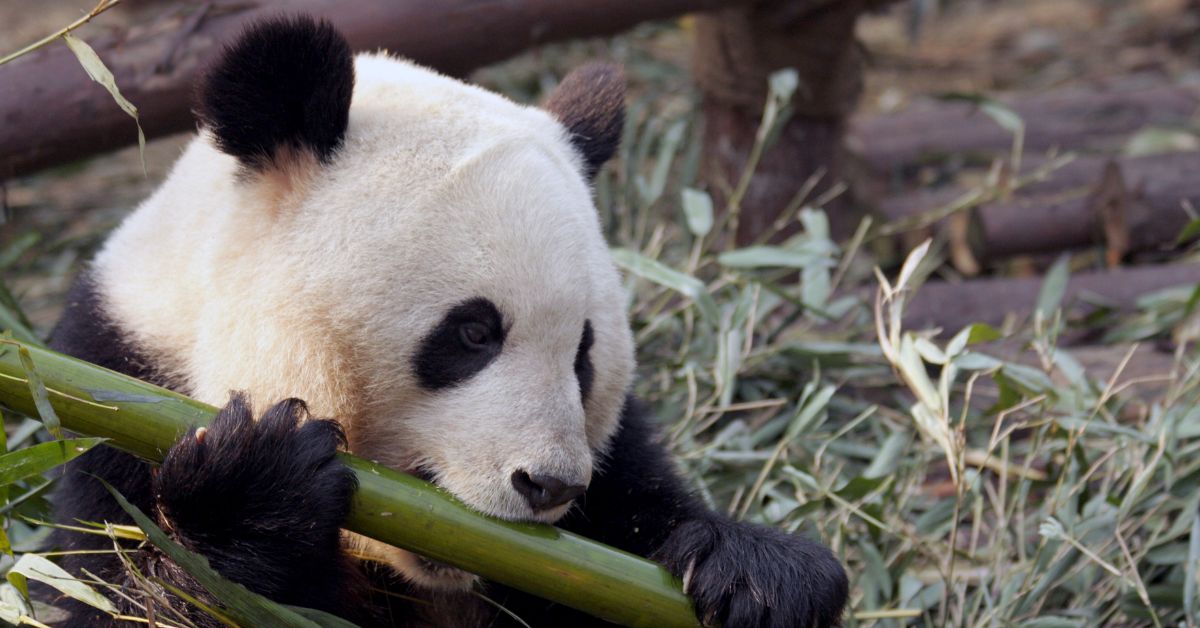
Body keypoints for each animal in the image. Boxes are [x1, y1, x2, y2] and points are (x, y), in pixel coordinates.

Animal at [46, 14, 849, 628]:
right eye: (473, 333)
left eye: (583, 354)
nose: (551, 485)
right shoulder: (113, 392)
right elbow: (125, 591)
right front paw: (253, 494)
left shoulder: (610, 480)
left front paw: (761, 574)